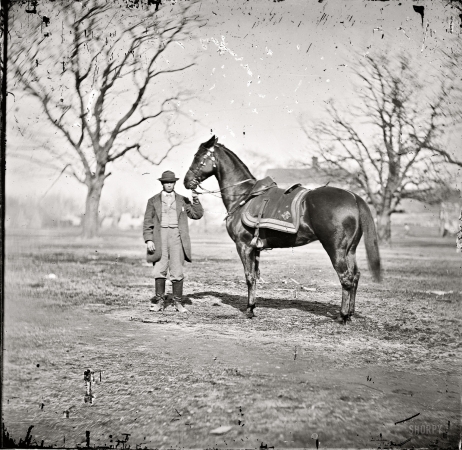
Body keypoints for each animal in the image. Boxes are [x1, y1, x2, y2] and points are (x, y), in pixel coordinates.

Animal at [184, 135, 382, 322]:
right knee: (355, 276)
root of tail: (353, 196)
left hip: (336, 249)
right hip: (350, 250)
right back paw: (350, 314)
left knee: (346, 278)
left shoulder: (244, 246)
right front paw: (252, 307)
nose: (187, 181)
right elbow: (255, 276)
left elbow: (249, 277)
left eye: (198, 157)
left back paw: (342, 316)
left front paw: (249, 310)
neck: (244, 196)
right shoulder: (255, 249)